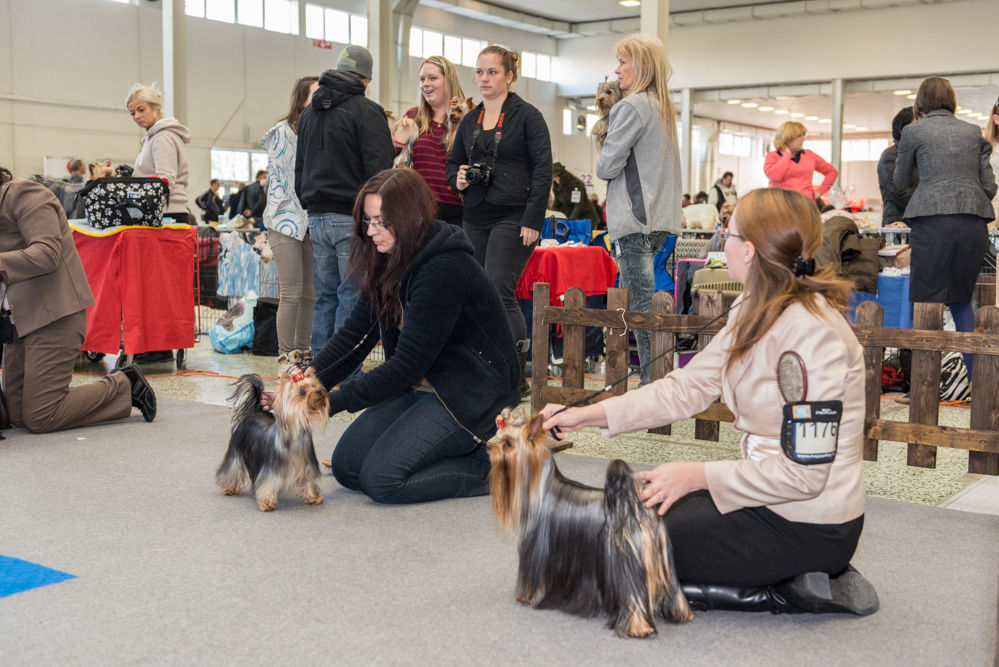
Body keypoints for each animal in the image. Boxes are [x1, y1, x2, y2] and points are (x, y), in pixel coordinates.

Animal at [216, 363, 330, 512]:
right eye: (302, 393)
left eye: (314, 386)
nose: (319, 391)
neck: (296, 437)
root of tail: (255, 411)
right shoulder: (271, 469)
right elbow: (268, 483)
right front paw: (267, 503)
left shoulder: (307, 465)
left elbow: (308, 480)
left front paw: (313, 497)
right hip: (236, 449)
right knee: (233, 467)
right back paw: (229, 488)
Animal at [488, 409, 693, 638]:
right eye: (499, 438)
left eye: (508, 444)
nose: (488, 447)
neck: (539, 486)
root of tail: (634, 507)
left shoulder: (536, 551)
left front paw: (526, 596)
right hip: (662, 560)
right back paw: (681, 613)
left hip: (626, 565)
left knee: (632, 597)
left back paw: (637, 628)